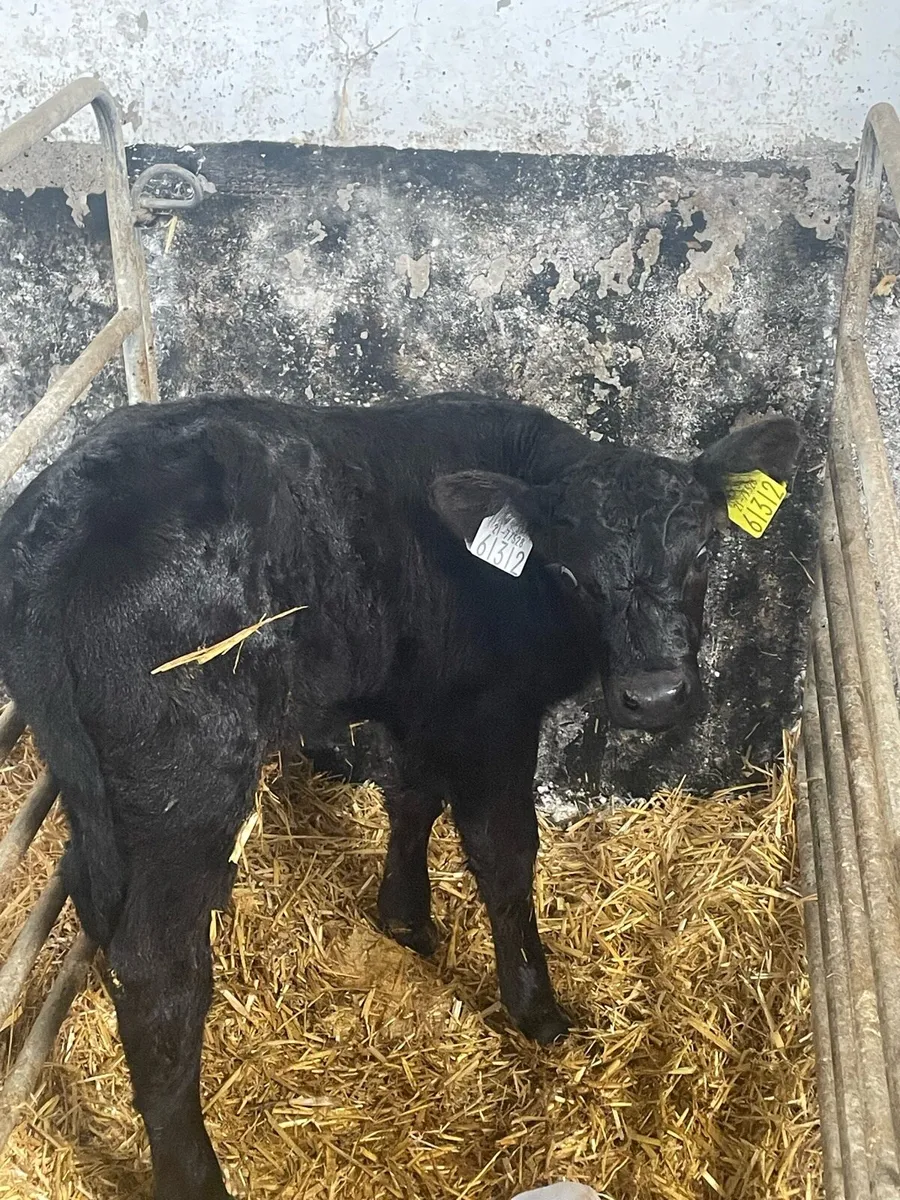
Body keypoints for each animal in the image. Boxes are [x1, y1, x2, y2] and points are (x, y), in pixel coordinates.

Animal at [0, 393, 801, 1199]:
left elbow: (413, 797)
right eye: (570, 573)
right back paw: (195, 1175)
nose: (656, 695)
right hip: (186, 778)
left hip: (96, 784)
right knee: (158, 968)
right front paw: (536, 1009)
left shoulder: (425, 700)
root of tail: (61, 524)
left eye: (704, 550)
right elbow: (504, 855)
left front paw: (406, 917)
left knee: (93, 893)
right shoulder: (491, 719)